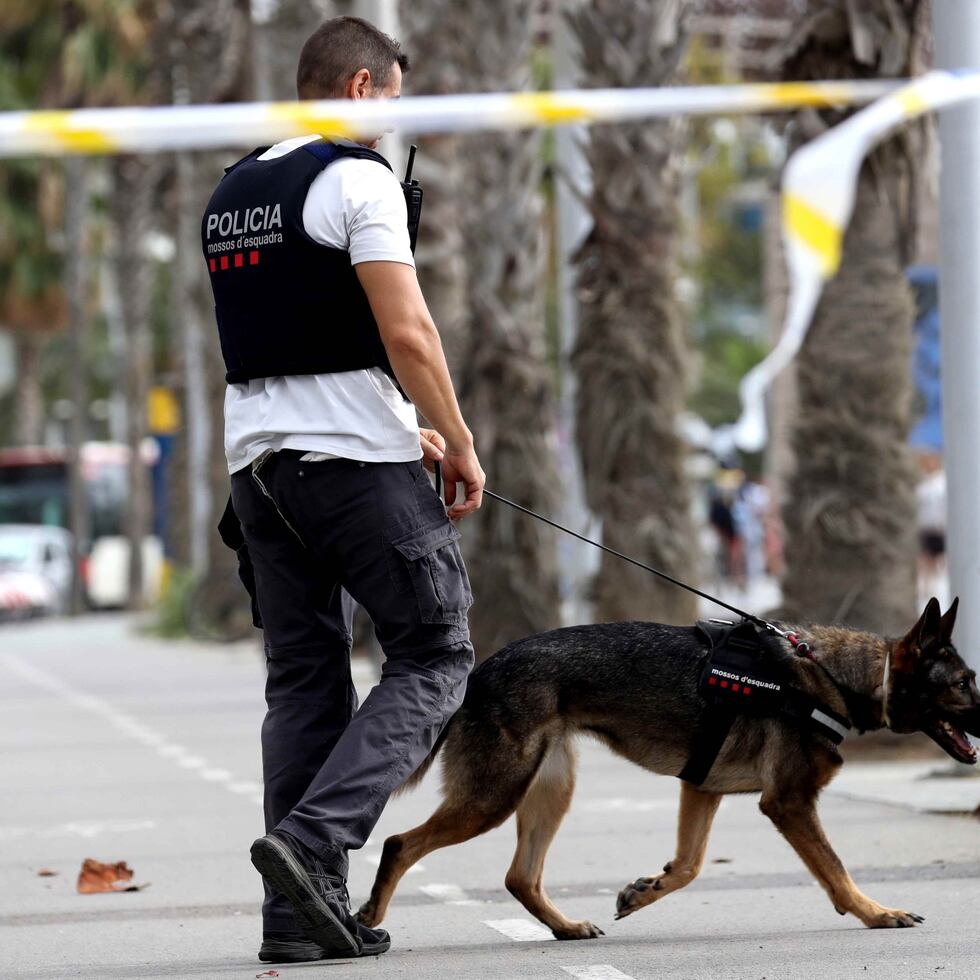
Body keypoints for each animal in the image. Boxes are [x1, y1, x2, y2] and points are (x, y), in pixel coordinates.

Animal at [358, 592, 980, 936]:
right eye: (963, 685)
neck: (833, 676)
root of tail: (479, 672)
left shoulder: (701, 789)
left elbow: (689, 866)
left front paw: (645, 890)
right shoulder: (789, 803)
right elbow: (837, 872)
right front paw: (878, 914)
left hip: (550, 788)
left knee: (520, 876)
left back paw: (566, 927)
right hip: (494, 796)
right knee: (399, 844)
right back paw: (368, 920)